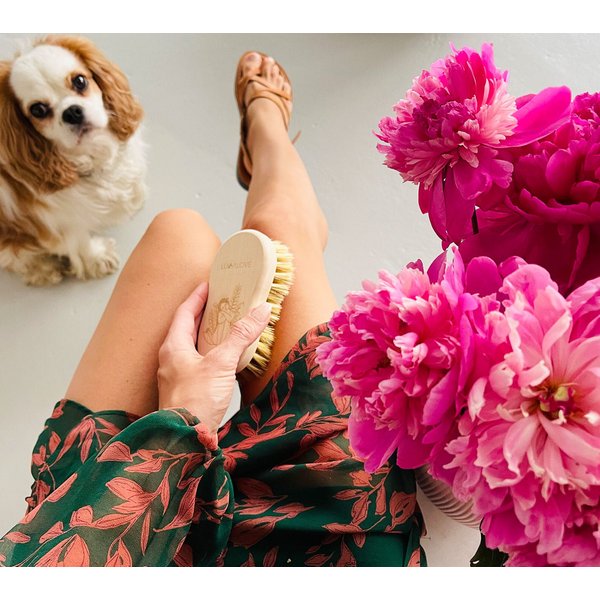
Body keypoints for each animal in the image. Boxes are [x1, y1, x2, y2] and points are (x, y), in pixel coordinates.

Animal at [0, 35, 146, 285]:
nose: (72, 112)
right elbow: (79, 240)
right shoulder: (59, 223)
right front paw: (98, 258)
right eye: (38, 110)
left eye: (79, 81)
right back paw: (42, 268)